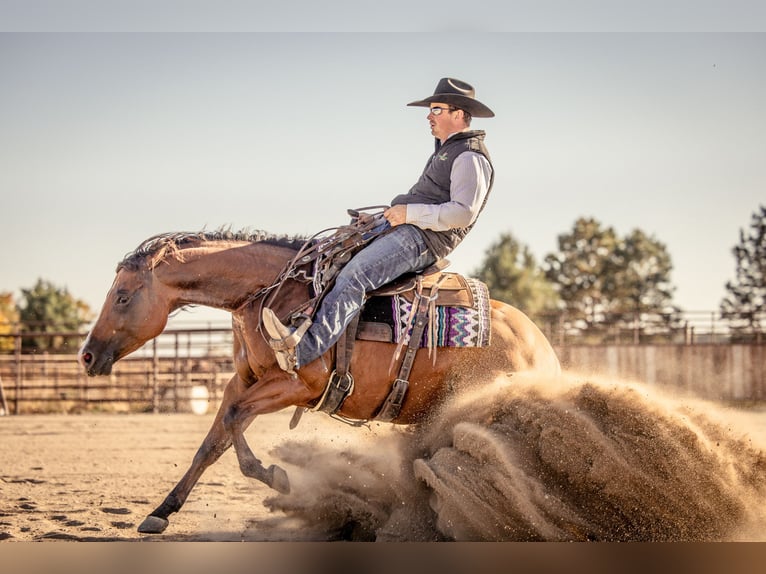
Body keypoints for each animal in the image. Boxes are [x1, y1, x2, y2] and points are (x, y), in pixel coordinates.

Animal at [78, 230, 560, 536]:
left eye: (122, 296)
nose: (86, 355)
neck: (270, 297)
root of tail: (542, 350)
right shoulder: (243, 381)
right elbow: (212, 442)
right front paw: (161, 512)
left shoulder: (297, 386)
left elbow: (234, 422)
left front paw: (275, 477)